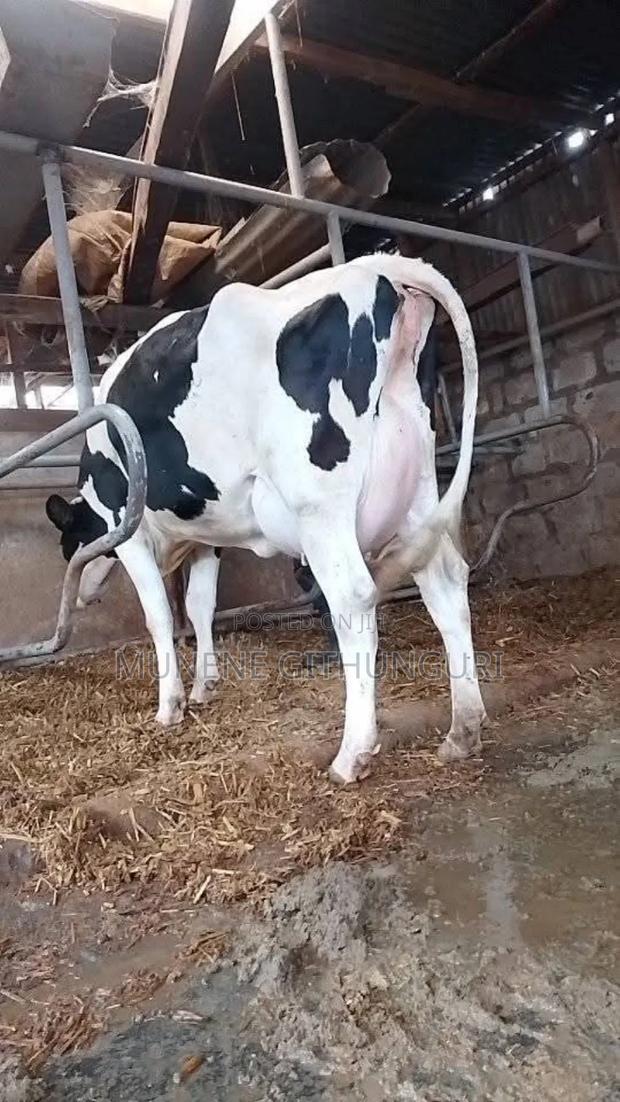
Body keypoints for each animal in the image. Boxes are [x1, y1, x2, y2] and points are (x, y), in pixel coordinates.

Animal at [45, 254, 487, 784]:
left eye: (69, 542)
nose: (82, 596)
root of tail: (377, 266)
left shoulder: (126, 528)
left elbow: (158, 614)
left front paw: (170, 706)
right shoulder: (207, 535)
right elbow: (199, 606)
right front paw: (205, 685)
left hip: (318, 503)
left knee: (354, 597)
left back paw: (352, 754)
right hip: (418, 487)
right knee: (445, 584)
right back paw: (463, 730)